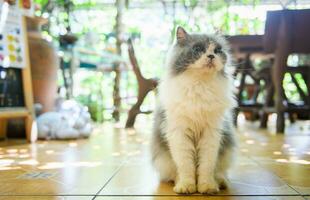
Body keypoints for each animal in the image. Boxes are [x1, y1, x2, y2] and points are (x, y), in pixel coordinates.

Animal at [151, 26, 236, 194]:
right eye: (198, 49)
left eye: (217, 50)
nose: (211, 56)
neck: (199, 85)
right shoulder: (179, 133)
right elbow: (186, 166)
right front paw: (186, 187)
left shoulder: (211, 134)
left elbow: (206, 167)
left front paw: (207, 188)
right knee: (174, 173)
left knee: (219, 172)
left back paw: (220, 183)